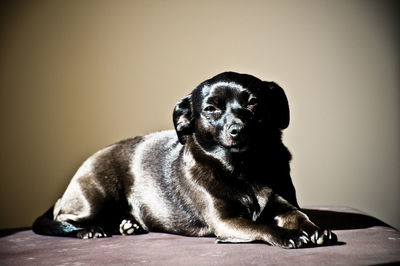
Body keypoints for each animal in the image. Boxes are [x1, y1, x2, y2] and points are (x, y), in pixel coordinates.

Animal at [32, 71, 338, 248]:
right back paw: (90, 230)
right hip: (94, 199)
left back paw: (127, 224)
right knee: (65, 219)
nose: (238, 130)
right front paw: (290, 236)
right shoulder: (226, 221)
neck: (243, 169)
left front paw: (315, 230)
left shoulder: (285, 207)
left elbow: (300, 216)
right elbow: (261, 225)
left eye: (253, 102)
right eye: (211, 109)